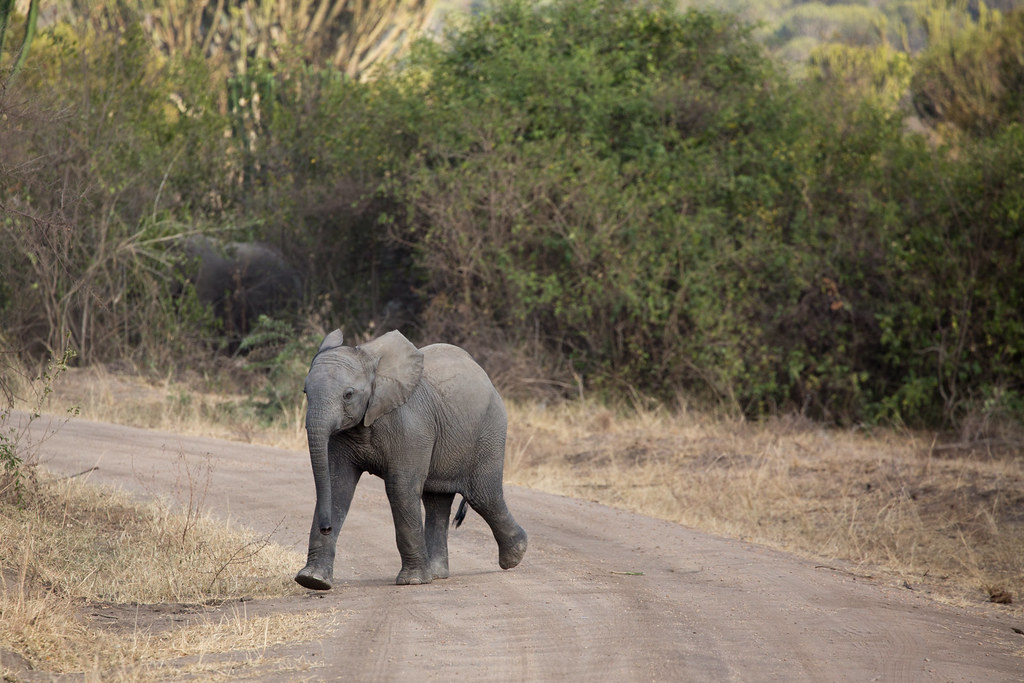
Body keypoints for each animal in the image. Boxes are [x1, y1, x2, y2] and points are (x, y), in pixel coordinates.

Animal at [292, 327, 524, 589]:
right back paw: (436, 573)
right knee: (437, 500)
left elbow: (400, 488)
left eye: (348, 395)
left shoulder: (411, 427)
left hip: (490, 429)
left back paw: (515, 556)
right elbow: (337, 484)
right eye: (305, 392)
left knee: (483, 495)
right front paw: (312, 580)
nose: (326, 527)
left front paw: (412, 581)